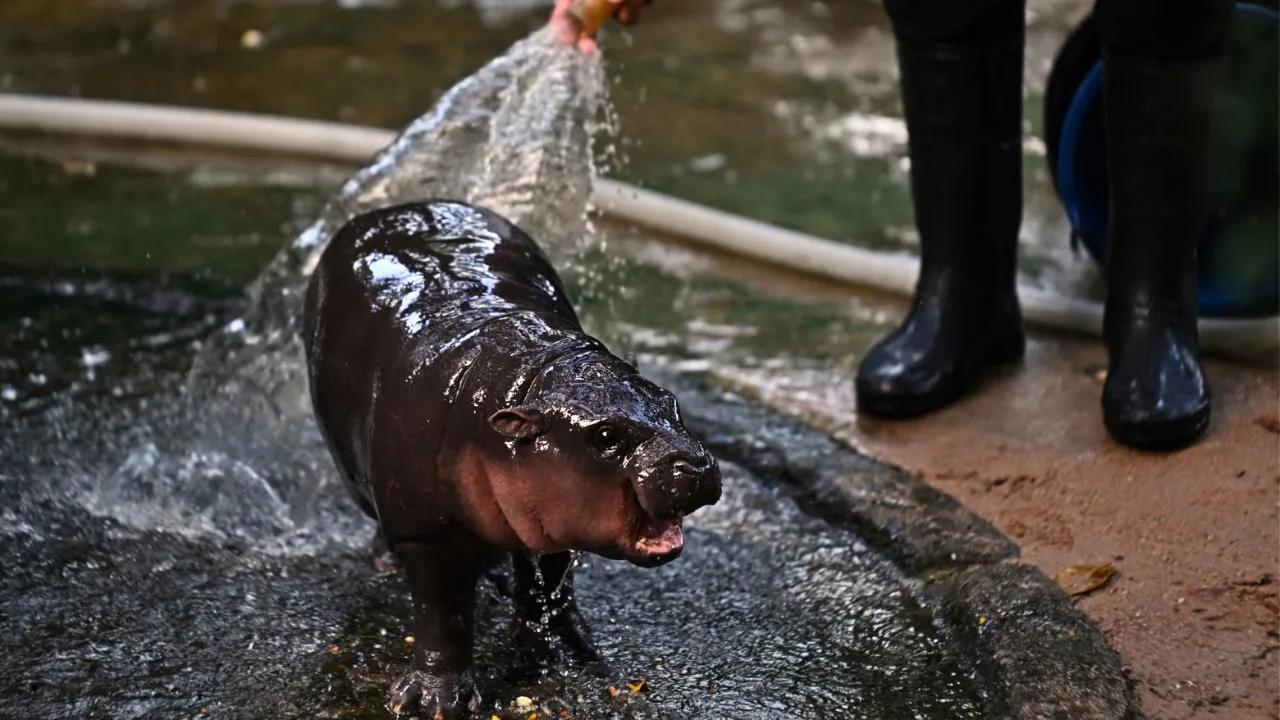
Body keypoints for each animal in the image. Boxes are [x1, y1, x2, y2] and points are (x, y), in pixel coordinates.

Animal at [302, 200, 722, 719]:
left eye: (671, 402)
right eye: (605, 436)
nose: (696, 465)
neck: (524, 379)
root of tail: (400, 207)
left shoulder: (552, 516)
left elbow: (551, 584)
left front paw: (566, 655)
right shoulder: (426, 532)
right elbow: (443, 613)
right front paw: (436, 701)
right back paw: (386, 563)